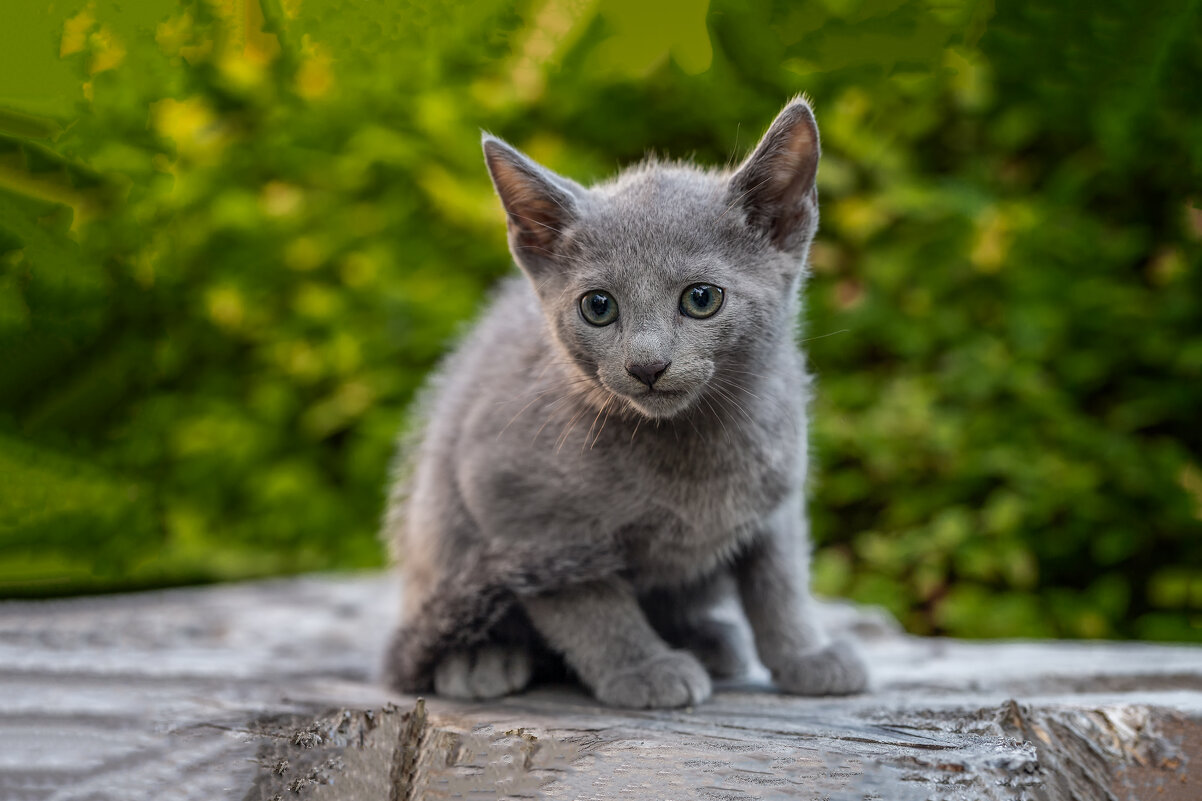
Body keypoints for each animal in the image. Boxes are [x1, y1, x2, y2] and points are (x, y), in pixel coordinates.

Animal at [379, 98, 870, 707]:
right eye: (598, 307)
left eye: (702, 298)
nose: (647, 365)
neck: (690, 447)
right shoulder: (520, 511)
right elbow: (592, 607)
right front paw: (642, 667)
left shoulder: (779, 497)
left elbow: (780, 581)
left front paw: (806, 654)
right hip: (439, 525)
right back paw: (478, 658)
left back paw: (707, 638)